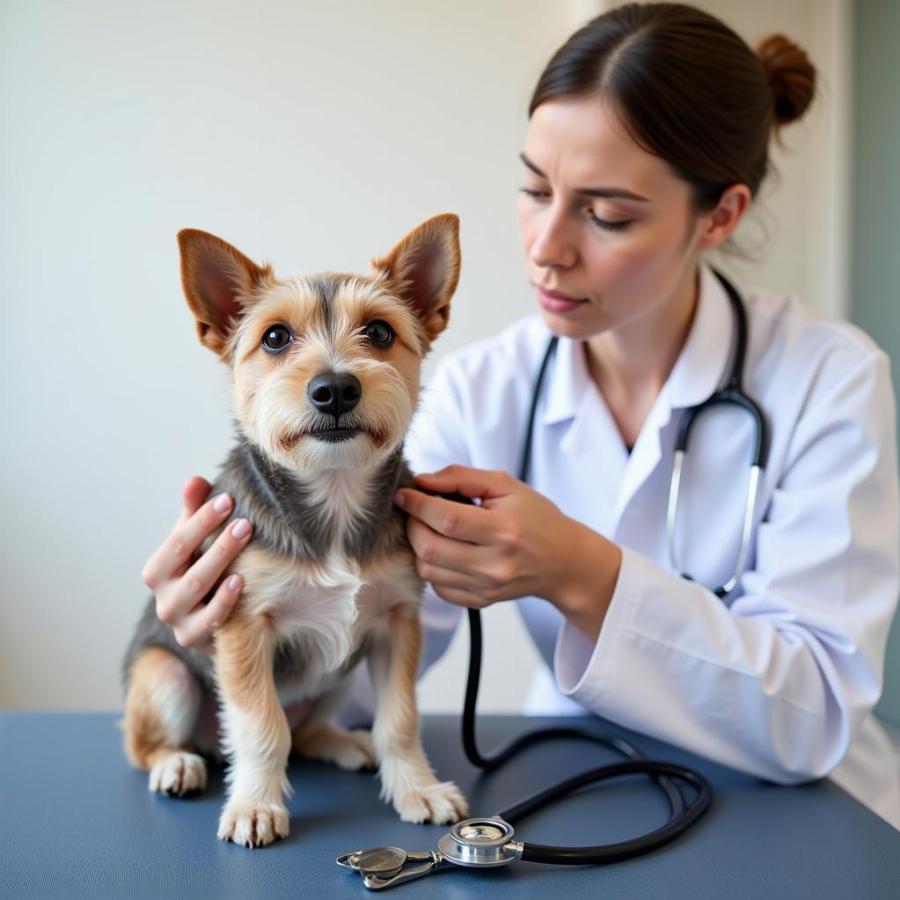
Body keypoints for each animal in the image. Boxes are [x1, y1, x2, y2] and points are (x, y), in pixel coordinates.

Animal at [120, 214, 468, 848]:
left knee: (307, 729)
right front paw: (256, 806)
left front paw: (418, 789)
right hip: (164, 676)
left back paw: (345, 742)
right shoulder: (242, 625)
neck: (333, 497)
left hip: (337, 677)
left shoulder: (396, 622)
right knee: (146, 744)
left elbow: (400, 720)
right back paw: (176, 762)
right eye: (276, 338)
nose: (335, 388)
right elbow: (262, 725)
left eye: (379, 332)